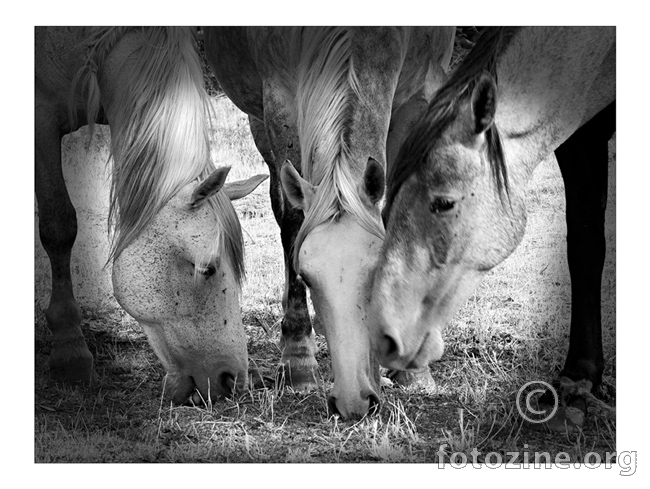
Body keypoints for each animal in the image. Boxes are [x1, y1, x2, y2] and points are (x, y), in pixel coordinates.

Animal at [205, 25, 454, 416]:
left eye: (378, 273)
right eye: (306, 275)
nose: (353, 402)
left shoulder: (419, 100)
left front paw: (415, 370)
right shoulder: (279, 101)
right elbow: (293, 222)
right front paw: (298, 366)